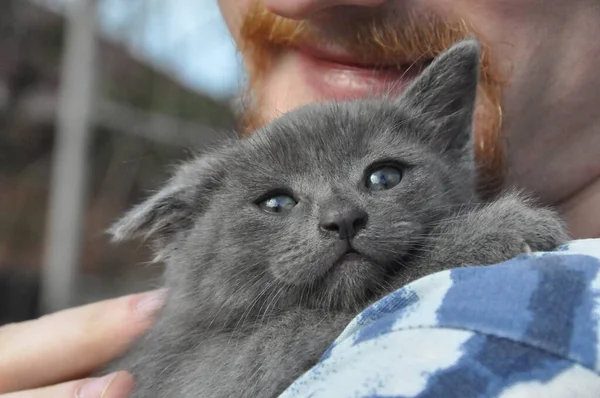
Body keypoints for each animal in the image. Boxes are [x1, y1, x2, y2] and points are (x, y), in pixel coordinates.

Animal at [103, 41, 568, 398]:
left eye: (385, 176)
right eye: (276, 204)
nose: (342, 218)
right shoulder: (205, 373)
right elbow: (357, 299)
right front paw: (496, 229)